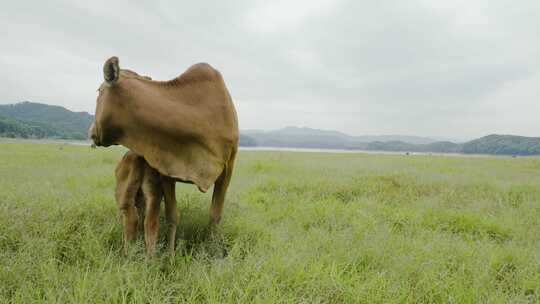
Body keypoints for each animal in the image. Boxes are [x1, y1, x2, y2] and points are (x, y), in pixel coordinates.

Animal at [89, 55, 237, 255]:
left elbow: (215, 215)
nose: (91, 130)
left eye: (99, 91)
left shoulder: (229, 166)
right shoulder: (166, 168)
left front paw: (212, 250)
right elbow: (172, 215)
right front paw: (170, 254)